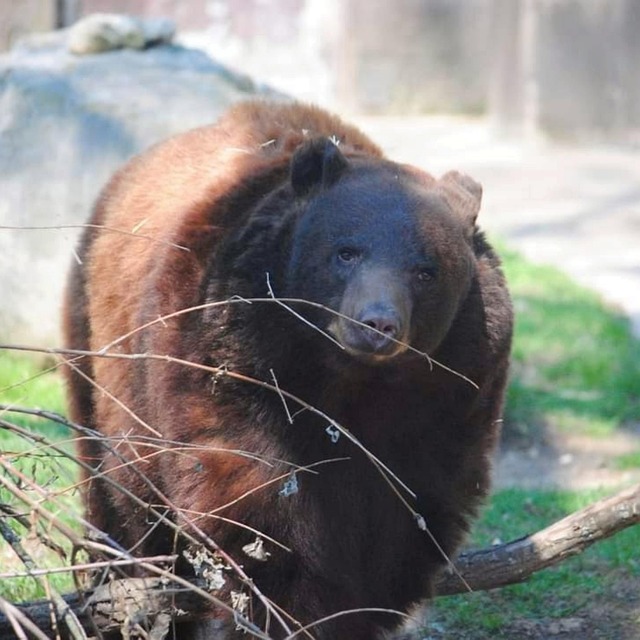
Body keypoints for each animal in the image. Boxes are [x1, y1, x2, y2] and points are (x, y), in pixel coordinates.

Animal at [62, 100, 513, 639]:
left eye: (426, 271)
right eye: (346, 251)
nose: (377, 323)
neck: (349, 382)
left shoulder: (448, 396)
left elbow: (408, 514)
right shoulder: (229, 355)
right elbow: (255, 500)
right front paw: (287, 607)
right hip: (101, 353)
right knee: (121, 496)